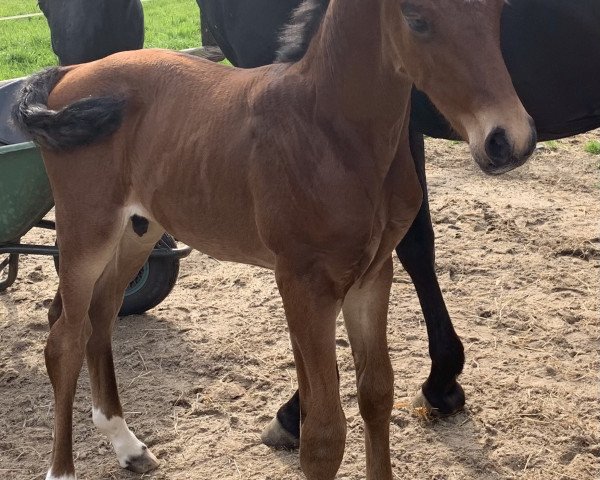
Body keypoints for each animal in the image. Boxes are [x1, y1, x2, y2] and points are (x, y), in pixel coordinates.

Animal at [16, 0, 536, 480]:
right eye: (416, 17)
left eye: (498, 10)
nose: (508, 140)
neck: (331, 133)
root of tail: (70, 71)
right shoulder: (305, 284)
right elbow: (323, 435)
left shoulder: (371, 277)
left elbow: (376, 395)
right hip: (87, 228)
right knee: (64, 337)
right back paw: (62, 469)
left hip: (139, 230)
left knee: (99, 316)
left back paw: (127, 445)